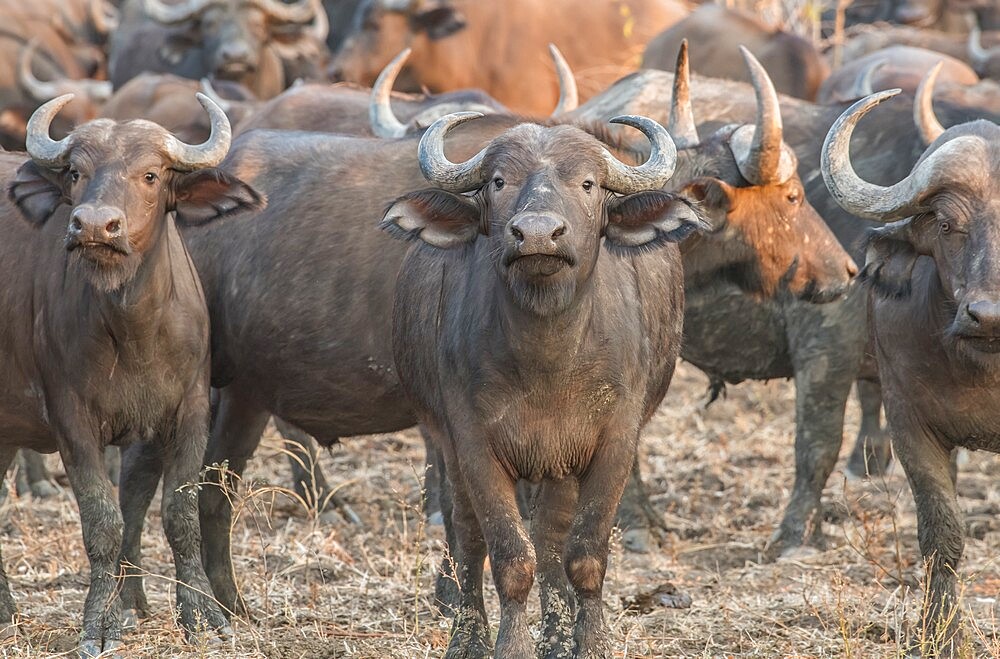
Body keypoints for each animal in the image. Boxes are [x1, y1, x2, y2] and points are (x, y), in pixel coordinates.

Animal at [1, 95, 260, 656]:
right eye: (76, 172)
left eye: (151, 174)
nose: (96, 226)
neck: (131, 330)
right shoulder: (72, 423)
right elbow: (103, 523)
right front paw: (100, 622)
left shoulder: (190, 413)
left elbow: (180, 516)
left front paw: (203, 615)